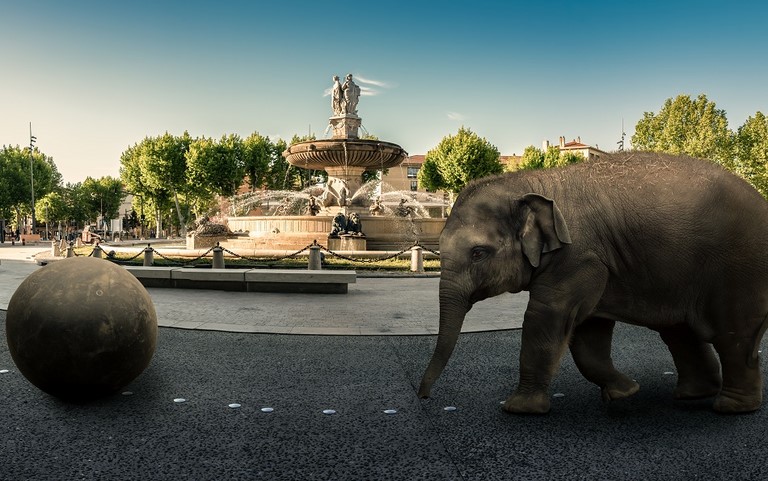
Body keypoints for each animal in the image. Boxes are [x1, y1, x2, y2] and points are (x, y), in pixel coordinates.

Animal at [420, 153, 768, 412]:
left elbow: (545, 318)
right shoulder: (595, 264)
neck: (531, 182)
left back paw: (731, 407)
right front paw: (626, 391)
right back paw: (693, 395)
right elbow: (587, 334)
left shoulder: (579, 257)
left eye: (478, 253)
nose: (424, 397)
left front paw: (517, 408)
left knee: (733, 335)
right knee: (679, 332)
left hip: (739, 271)